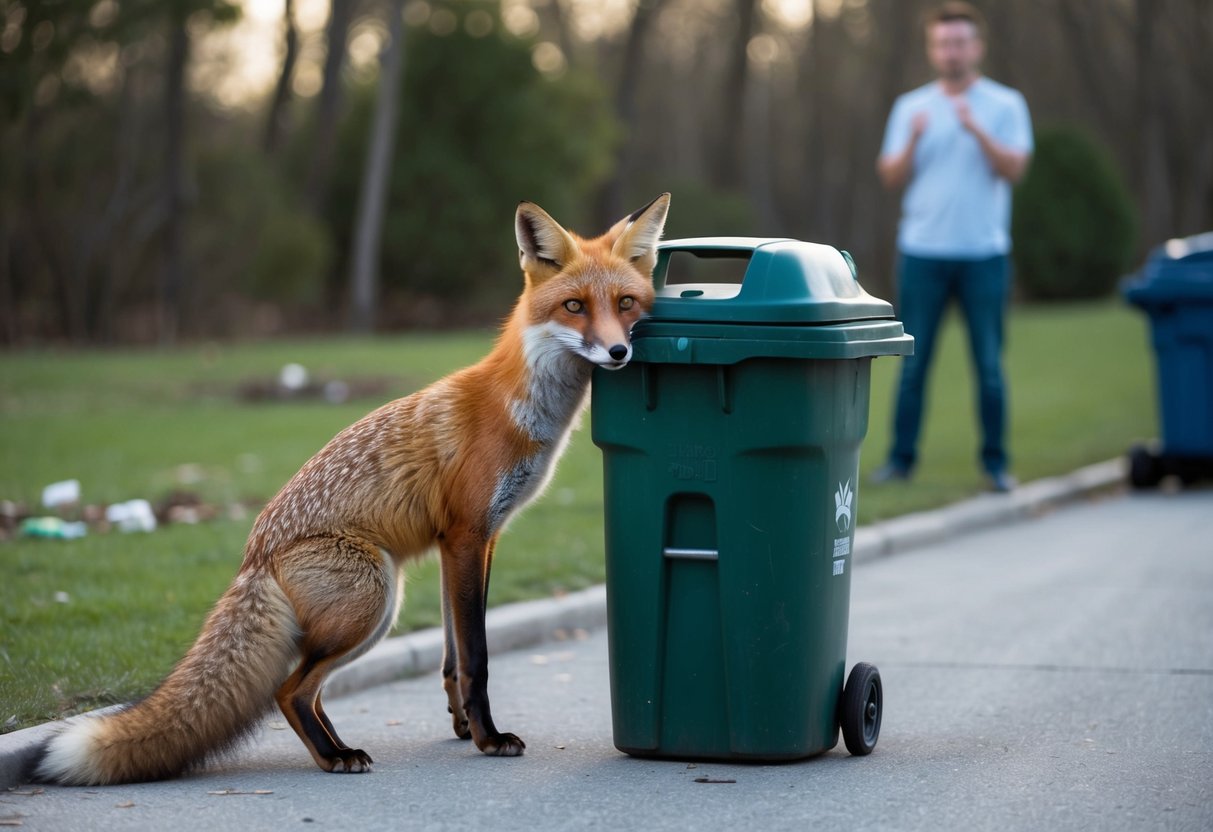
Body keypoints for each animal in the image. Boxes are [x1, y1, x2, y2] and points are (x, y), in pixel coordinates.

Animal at [34, 193, 671, 786]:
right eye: (574, 306)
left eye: (626, 304)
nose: (619, 352)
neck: (519, 406)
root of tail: (252, 554)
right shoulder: (468, 533)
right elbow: (477, 658)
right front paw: (489, 738)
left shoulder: (469, 542)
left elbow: (450, 656)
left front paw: (462, 726)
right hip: (375, 600)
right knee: (289, 690)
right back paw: (334, 756)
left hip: (374, 605)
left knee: (307, 691)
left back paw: (338, 748)